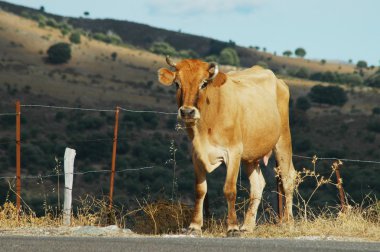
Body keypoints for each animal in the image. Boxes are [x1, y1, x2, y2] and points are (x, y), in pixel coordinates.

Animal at [157, 56, 296, 237]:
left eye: (203, 83)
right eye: (177, 83)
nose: (187, 112)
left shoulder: (233, 152)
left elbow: (229, 190)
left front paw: (232, 227)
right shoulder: (196, 154)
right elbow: (200, 190)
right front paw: (194, 226)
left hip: (283, 140)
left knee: (287, 179)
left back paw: (288, 223)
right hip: (250, 155)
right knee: (258, 184)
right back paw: (248, 226)